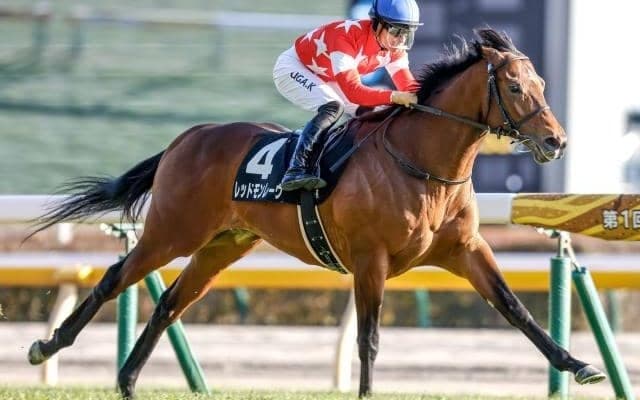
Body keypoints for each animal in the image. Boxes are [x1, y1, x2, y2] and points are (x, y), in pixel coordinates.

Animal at [26, 28, 606, 398]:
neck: (422, 163)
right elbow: (369, 338)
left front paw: (578, 366)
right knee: (112, 279)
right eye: (515, 86)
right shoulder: (370, 260)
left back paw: (127, 381)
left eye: (543, 85)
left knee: (170, 302)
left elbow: (516, 309)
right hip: (172, 232)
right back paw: (48, 346)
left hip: (220, 246)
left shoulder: (464, 250)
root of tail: (187, 137)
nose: (556, 141)